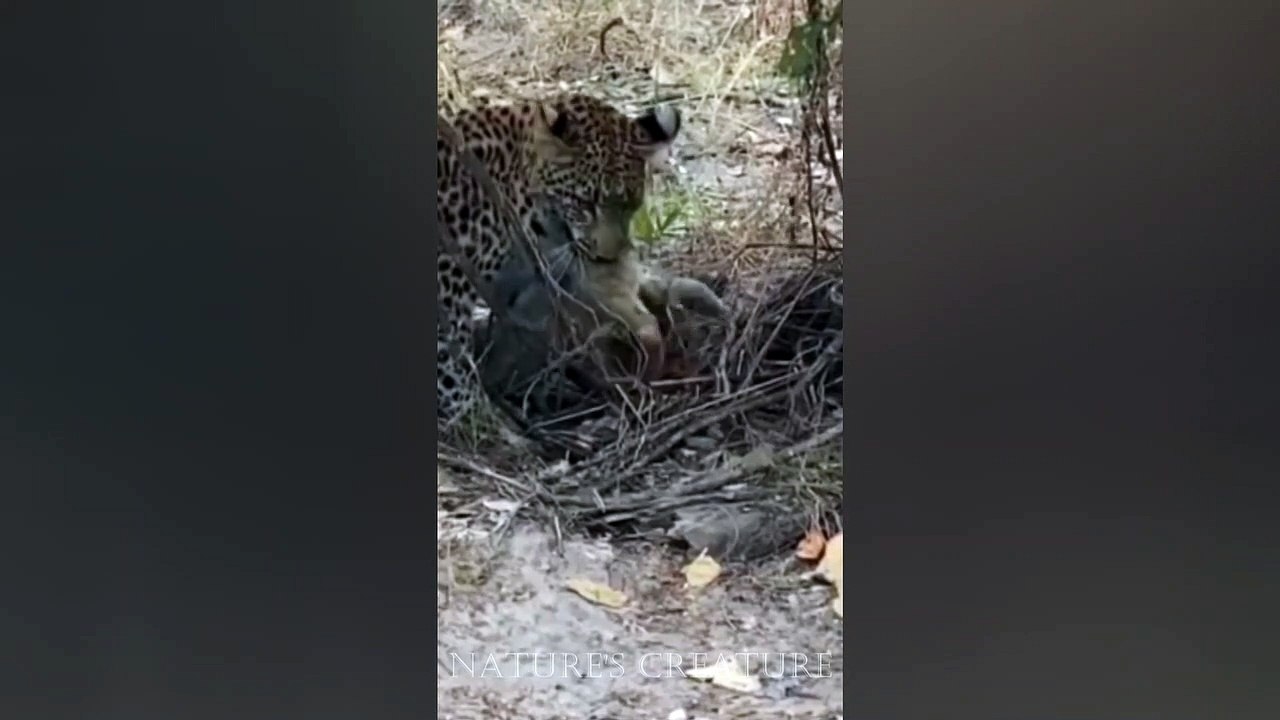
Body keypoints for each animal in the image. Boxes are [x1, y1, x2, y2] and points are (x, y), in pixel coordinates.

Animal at [436, 92, 681, 425]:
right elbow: (450, 364)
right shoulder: (446, 281)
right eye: (584, 203)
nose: (607, 257)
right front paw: (473, 417)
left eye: (631, 204)